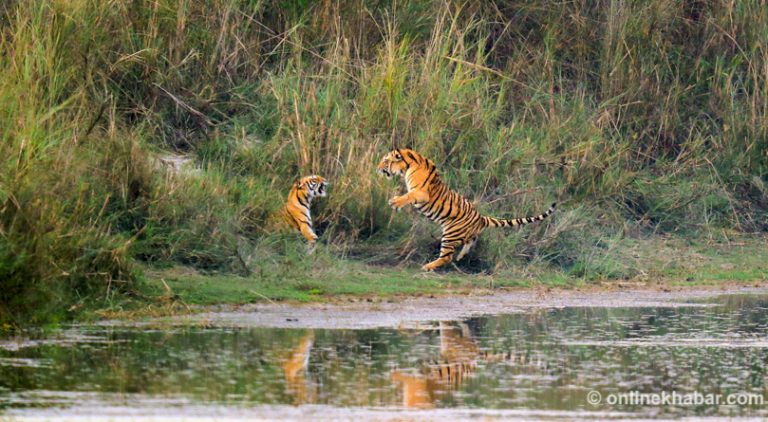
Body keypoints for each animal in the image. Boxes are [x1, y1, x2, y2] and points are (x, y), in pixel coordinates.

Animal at [376, 148, 556, 272]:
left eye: (385, 161)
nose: (377, 168)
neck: (410, 163)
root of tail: (481, 218)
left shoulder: (421, 193)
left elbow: (408, 195)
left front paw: (394, 202)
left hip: (449, 234)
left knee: (447, 257)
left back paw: (428, 266)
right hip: (463, 234)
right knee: (469, 243)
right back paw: (461, 256)